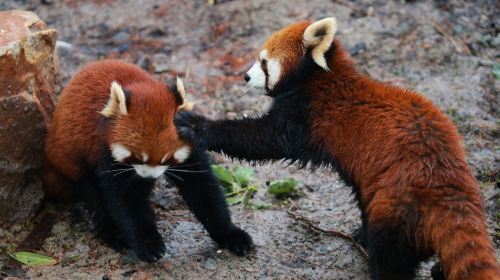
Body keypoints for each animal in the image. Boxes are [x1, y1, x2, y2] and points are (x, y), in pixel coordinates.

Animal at [43, 59, 254, 262]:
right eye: (137, 157)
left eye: (167, 158)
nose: (149, 176)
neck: (140, 85)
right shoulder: (105, 153)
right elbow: (127, 201)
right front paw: (148, 244)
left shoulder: (189, 146)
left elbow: (203, 189)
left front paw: (230, 234)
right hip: (74, 162)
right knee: (95, 197)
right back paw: (114, 233)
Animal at [174, 18, 498, 278]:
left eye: (263, 62)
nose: (245, 76)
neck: (318, 78)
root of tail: (445, 183)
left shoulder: (306, 116)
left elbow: (259, 139)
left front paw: (198, 125)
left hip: (397, 208)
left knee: (390, 257)